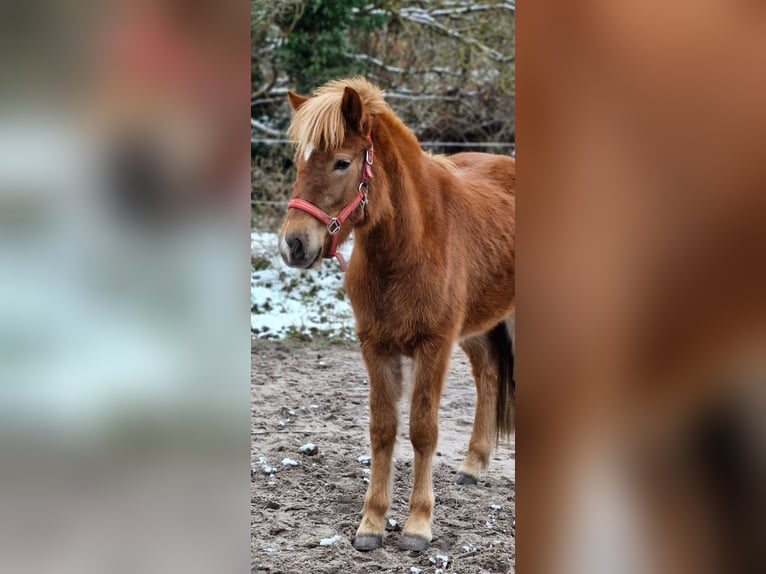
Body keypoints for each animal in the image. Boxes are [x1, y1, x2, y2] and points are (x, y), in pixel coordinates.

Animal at [278, 76, 516, 552]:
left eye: (342, 162)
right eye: (299, 161)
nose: (293, 244)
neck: (410, 244)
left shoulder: (434, 346)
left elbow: (423, 430)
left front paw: (417, 525)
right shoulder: (376, 345)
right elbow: (383, 429)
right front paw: (371, 523)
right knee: (487, 376)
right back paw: (473, 465)